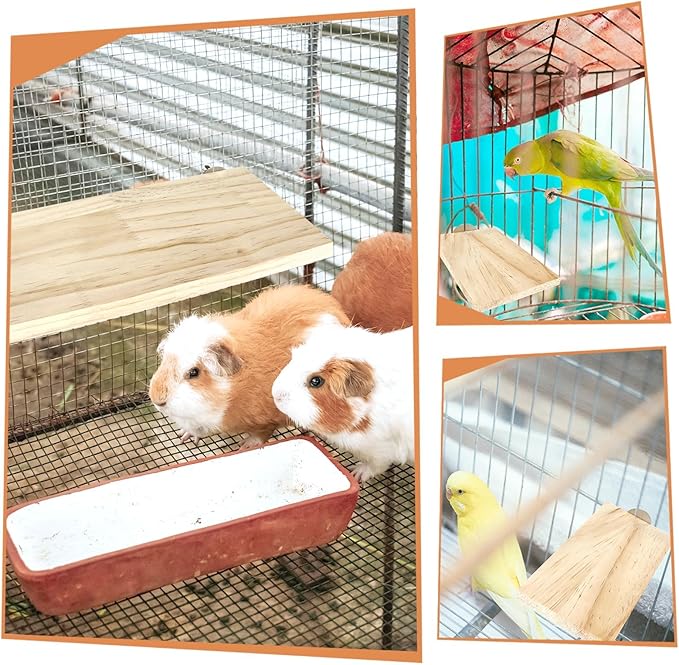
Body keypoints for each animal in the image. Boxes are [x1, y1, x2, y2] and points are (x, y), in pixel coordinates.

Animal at [148, 285, 350, 448]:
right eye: (165, 361)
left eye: (193, 372)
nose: (158, 400)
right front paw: (184, 436)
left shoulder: (268, 418)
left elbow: (262, 433)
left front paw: (245, 445)